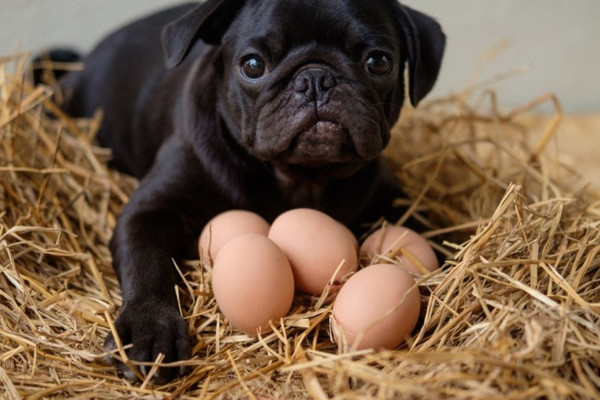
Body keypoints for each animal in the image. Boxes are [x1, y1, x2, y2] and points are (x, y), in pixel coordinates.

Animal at [47, 0, 442, 382]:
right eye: (253, 65)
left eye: (379, 62)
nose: (316, 78)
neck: (301, 179)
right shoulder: (149, 212)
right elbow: (147, 265)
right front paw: (149, 328)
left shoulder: (394, 198)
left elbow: (433, 229)